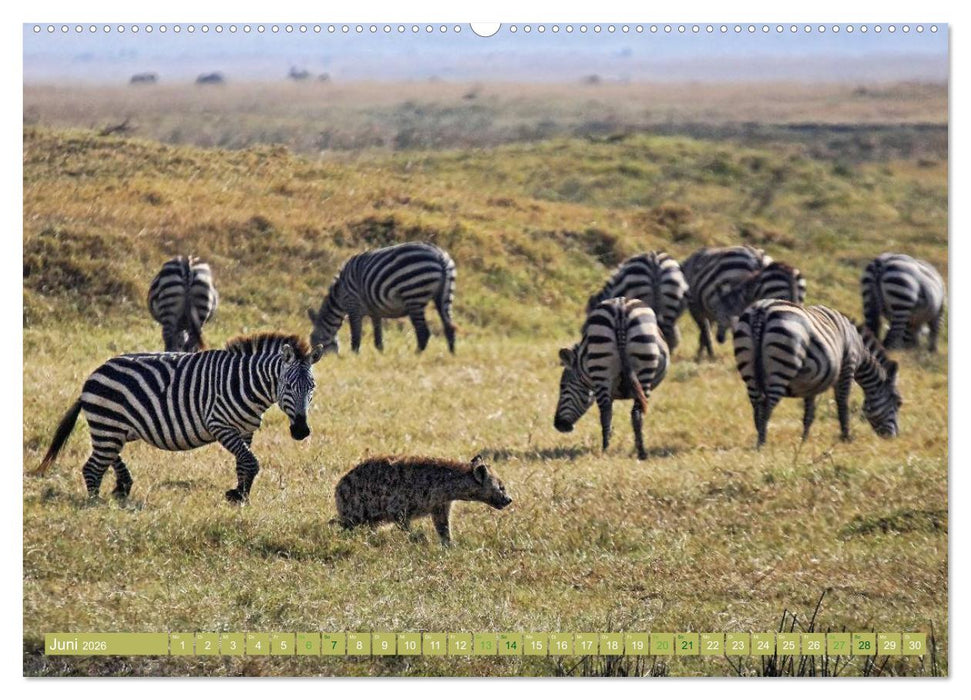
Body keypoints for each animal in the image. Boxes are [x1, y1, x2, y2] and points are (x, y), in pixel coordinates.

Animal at [34, 332, 325, 503]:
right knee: (93, 467)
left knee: (107, 456)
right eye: (288, 387)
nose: (301, 431)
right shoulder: (220, 424)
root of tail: (92, 375)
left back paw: (122, 488)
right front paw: (240, 496)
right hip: (108, 425)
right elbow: (251, 462)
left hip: (113, 428)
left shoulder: (246, 430)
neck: (247, 385)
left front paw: (239, 494)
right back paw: (96, 504)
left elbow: (243, 463)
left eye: (312, 387)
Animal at [307, 242, 457, 354]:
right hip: (444, 295)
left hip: (414, 294)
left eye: (314, 340)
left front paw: (354, 356)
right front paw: (381, 353)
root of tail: (439, 256)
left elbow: (356, 335)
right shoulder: (375, 311)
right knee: (449, 326)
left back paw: (417, 354)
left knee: (423, 331)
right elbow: (378, 336)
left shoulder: (353, 306)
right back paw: (451, 354)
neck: (339, 296)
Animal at [554, 297, 669, 460]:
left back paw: (616, 450)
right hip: (639, 368)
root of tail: (620, 307)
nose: (558, 425)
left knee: (612, 412)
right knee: (628, 413)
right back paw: (632, 452)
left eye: (562, 386)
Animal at [732, 299, 901, 448]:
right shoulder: (847, 367)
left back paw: (759, 436)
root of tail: (762, 310)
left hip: (749, 369)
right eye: (898, 402)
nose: (894, 438)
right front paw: (846, 438)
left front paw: (804, 440)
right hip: (782, 366)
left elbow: (809, 414)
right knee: (766, 407)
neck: (860, 349)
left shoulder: (811, 383)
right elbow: (842, 404)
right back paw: (762, 443)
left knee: (756, 405)